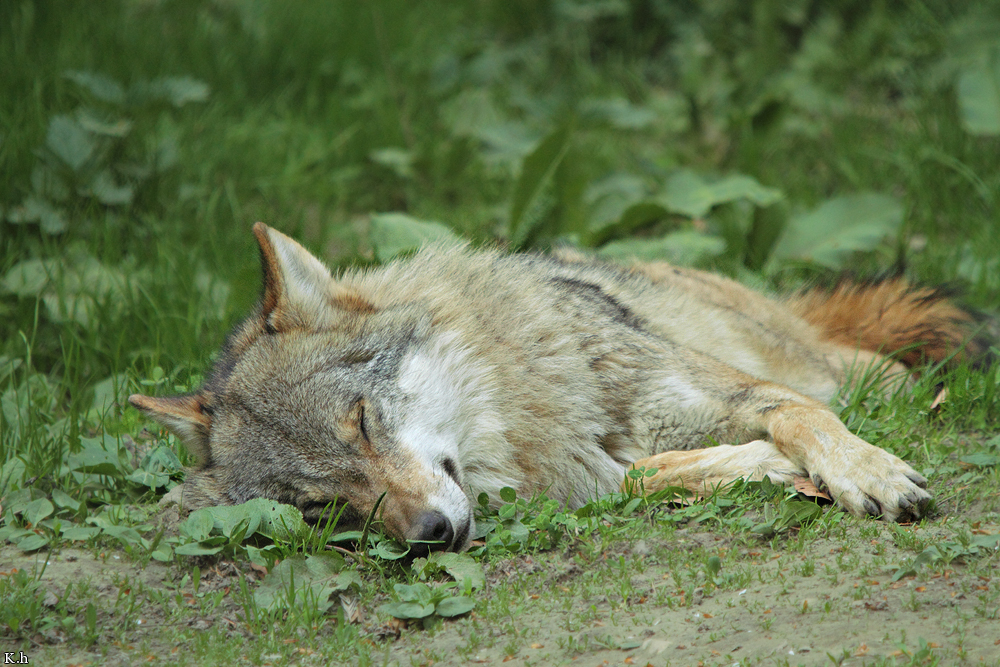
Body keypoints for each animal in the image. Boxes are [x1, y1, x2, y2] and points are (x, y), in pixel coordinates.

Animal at [129, 223, 991, 552]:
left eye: (363, 422)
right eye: (321, 505)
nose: (428, 536)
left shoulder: (741, 392)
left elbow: (803, 420)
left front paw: (864, 472)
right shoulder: (589, 477)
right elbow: (647, 475)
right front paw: (766, 468)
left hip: (848, 367)